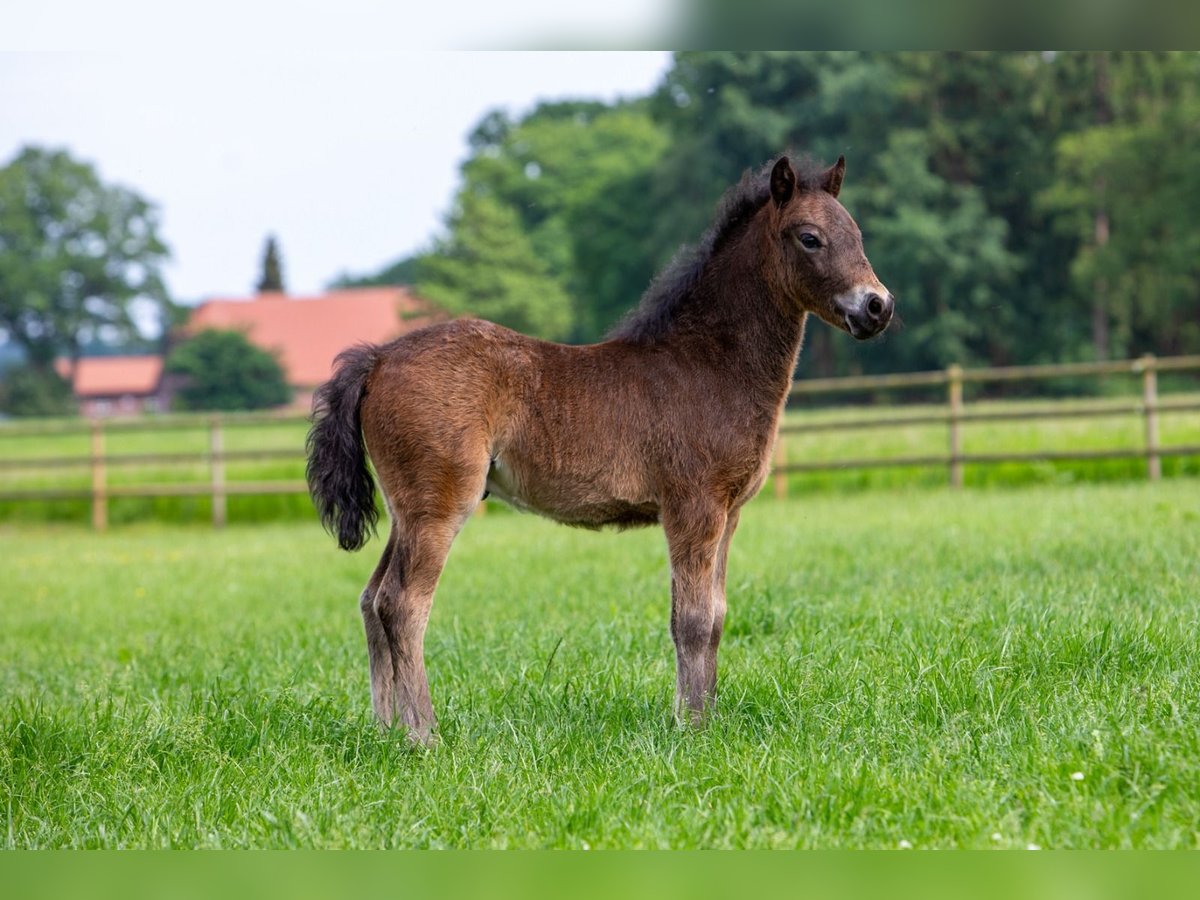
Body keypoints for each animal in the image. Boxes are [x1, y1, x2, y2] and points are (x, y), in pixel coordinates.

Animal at [309, 157, 892, 748]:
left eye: (857, 234)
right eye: (810, 238)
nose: (878, 306)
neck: (709, 364)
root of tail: (380, 357)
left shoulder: (728, 516)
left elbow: (716, 617)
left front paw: (705, 718)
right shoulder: (693, 508)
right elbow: (691, 621)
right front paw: (692, 728)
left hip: (408, 511)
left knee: (372, 600)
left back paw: (386, 732)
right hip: (439, 506)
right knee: (403, 605)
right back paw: (424, 737)